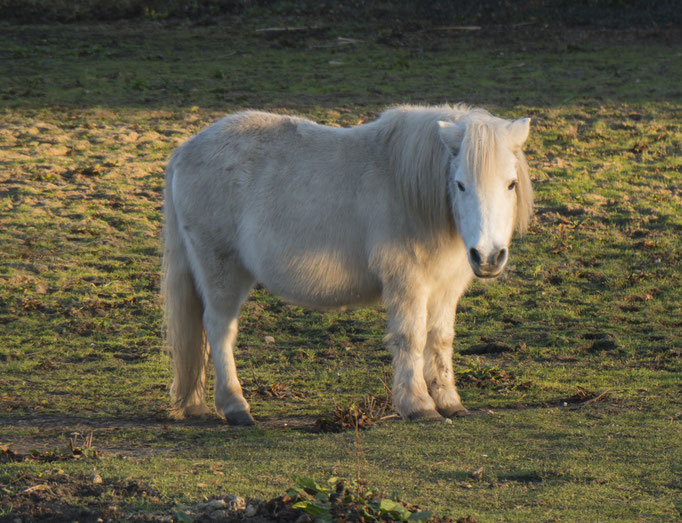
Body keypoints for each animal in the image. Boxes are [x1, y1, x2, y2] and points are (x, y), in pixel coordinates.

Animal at [161, 105, 532, 426]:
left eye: (510, 184)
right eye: (460, 184)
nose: (488, 256)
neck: (411, 193)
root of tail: (184, 152)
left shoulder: (445, 288)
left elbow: (439, 339)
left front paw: (449, 402)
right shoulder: (407, 284)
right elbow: (411, 338)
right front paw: (418, 405)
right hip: (221, 270)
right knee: (219, 329)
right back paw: (235, 406)